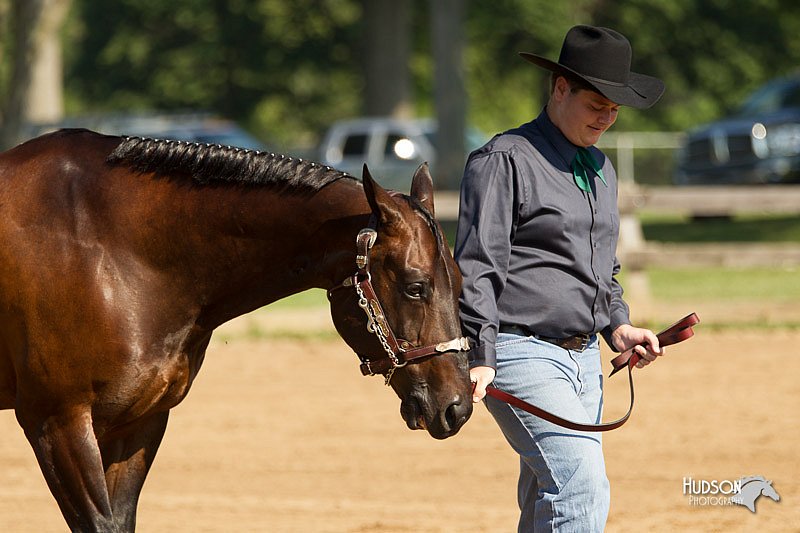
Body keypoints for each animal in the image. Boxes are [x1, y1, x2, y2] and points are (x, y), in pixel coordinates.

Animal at [0, 130, 476, 532]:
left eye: (459, 281)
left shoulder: (139, 422)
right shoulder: (58, 423)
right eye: (416, 286)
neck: (109, 245)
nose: (457, 406)